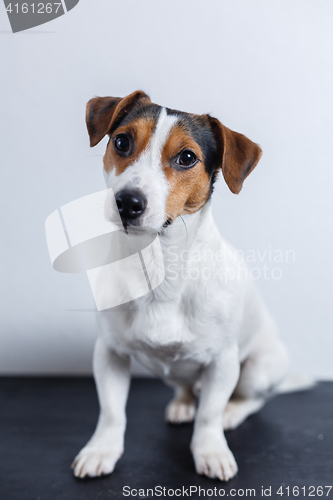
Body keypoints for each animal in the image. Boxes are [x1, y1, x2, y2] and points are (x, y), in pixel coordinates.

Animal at [72, 92, 288, 482]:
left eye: (187, 157)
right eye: (121, 142)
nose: (127, 202)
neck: (161, 267)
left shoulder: (223, 362)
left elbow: (209, 415)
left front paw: (211, 450)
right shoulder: (109, 353)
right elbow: (111, 411)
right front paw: (101, 450)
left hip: (258, 369)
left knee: (251, 399)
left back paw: (232, 412)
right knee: (186, 385)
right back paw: (183, 404)